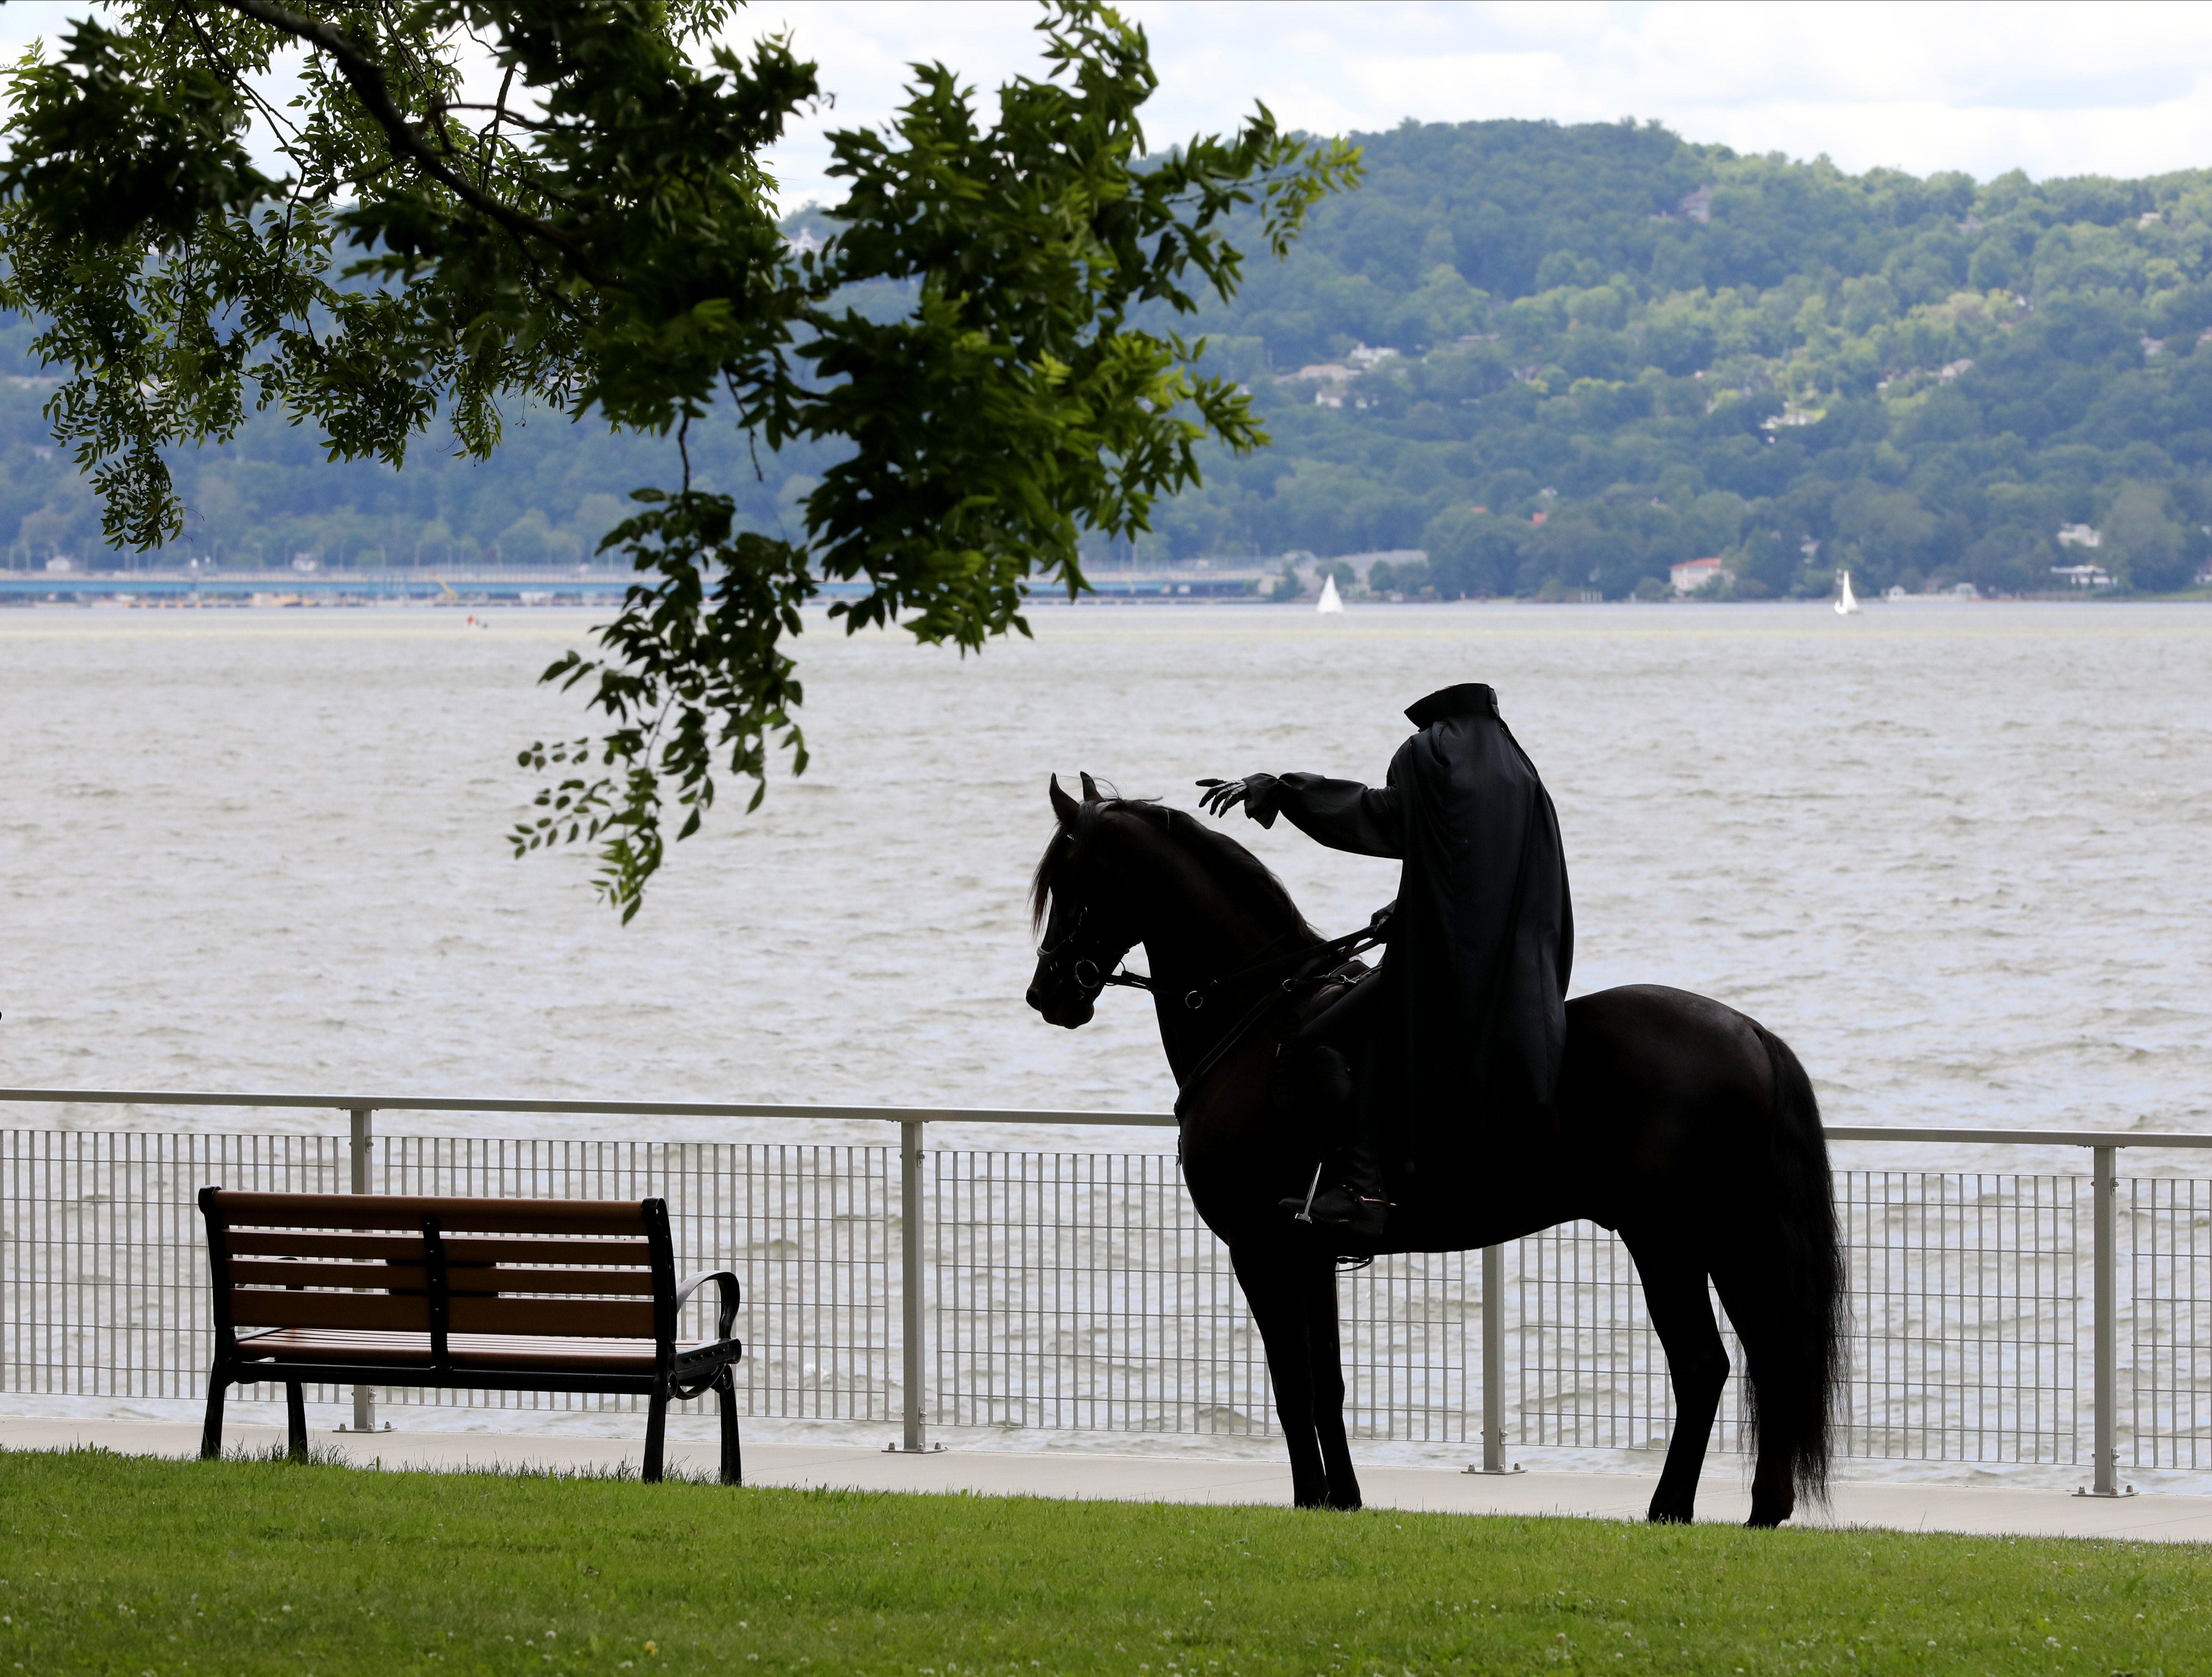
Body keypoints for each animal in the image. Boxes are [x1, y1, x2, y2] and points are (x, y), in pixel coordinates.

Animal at [1026, 783, 1840, 1531]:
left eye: (1069, 881)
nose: (1047, 994)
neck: (1260, 1026)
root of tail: (1747, 1034)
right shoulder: (1308, 1252)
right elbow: (1327, 1383)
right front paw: (1343, 1500)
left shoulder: (1259, 1249)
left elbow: (1292, 1384)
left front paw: (1308, 1497)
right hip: (1727, 1239)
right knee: (1770, 1358)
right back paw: (1764, 1508)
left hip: (1666, 1240)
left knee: (1703, 1366)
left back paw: (1669, 1508)